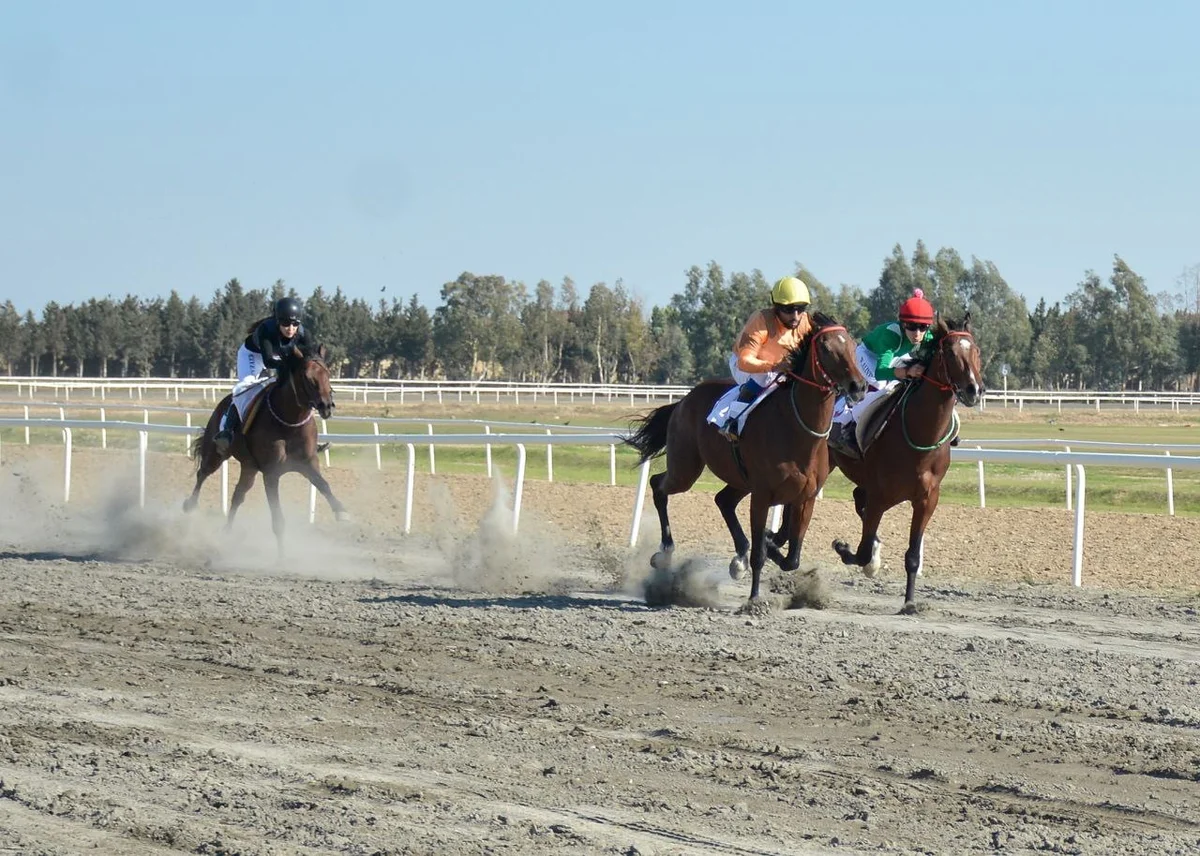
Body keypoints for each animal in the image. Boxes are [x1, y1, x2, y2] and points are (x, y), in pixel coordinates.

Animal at [182, 343, 350, 557]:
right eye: (307, 376)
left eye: (327, 373)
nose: (327, 406)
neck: (290, 422)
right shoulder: (271, 473)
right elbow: (278, 519)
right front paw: (281, 557)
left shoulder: (308, 463)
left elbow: (323, 485)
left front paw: (341, 511)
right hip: (216, 453)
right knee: (202, 473)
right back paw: (190, 506)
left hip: (249, 466)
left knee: (238, 495)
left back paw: (227, 531)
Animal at [624, 309, 868, 609]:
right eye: (826, 347)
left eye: (852, 345)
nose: (859, 386)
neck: (797, 429)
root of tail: (682, 401)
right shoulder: (762, 495)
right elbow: (760, 555)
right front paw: (754, 599)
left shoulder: (805, 498)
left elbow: (792, 559)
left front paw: (769, 545)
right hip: (686, 468)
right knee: (659, 485)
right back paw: (665, 552)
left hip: (738, 479)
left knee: (723, 500)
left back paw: (737, 558)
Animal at [825, 314, 984, 614]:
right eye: (949, 352)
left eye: (977, 351)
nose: (974, 390)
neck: (920, 433)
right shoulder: (880, 495)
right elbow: (862, 551)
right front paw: (846, 549)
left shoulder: (927, 499)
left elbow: (911, 555)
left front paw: (910, 602)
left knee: (858, 499)